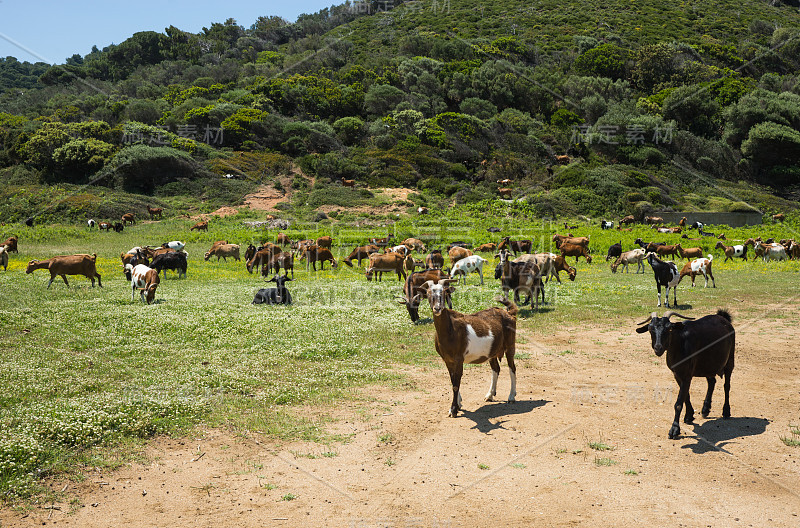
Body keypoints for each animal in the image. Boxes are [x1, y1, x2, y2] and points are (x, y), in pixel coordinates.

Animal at [416, 278, 520, 418]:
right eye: (427, 294)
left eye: (444, 292)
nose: (437, 308)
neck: (450, 330)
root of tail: (509, 313)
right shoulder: (447, 360)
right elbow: (453, 380)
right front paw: (458, 404)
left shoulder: (459, 358)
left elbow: (456, 384)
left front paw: (453, 410)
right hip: (492, 351)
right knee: (496, 369)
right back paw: (490, 395)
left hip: (510, 345)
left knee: (512, 368)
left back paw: (511, 397)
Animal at [636, 312, 736, 440]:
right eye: (650, 329)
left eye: (669, 329)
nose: (658, 348)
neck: (680, 344)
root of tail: (723, 317)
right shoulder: (677, 374)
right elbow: (686, 396)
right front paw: (689, 416)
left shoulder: (687, 375)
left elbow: (679, 403)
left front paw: (674, 429)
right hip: (708, 364)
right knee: (712, 382)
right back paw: (705, 409)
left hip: (730, 359)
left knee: (726, 386)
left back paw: (726, 411)